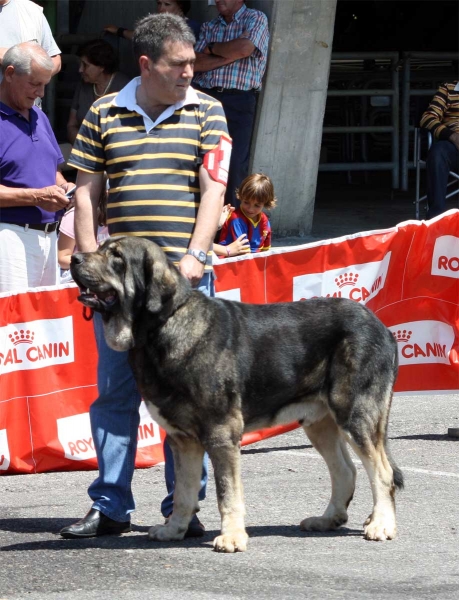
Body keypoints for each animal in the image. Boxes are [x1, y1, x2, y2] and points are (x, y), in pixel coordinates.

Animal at [71, 236, 402, 552]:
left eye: (116, 257)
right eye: (100, 247)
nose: (74, 258)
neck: (162, 326)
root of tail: (381, 326)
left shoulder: (221, 432)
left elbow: (226, 492)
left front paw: (231, 538)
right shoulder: (183, 439)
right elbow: (183, 492)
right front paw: (174, 530)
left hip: (355, 414)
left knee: (382, 472)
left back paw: (381, 525)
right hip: (320, 422)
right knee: (345, 471)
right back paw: (327, 519)